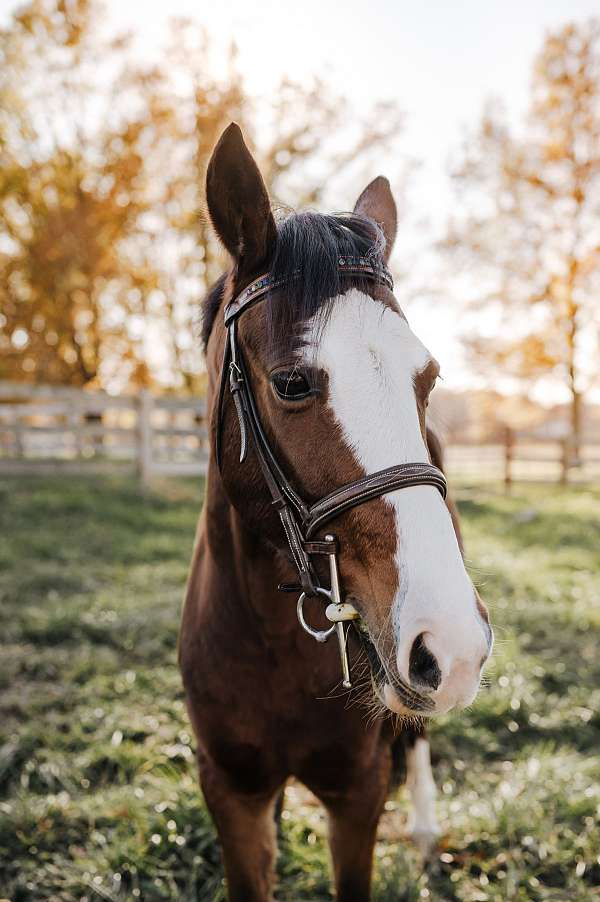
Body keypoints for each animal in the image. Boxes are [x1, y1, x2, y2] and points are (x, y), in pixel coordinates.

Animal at [179, 122, 492, 902]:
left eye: (428, 377)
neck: (270, 640)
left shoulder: (358, 794)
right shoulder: (231, 792)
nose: (452, 644)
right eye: (291, 383)